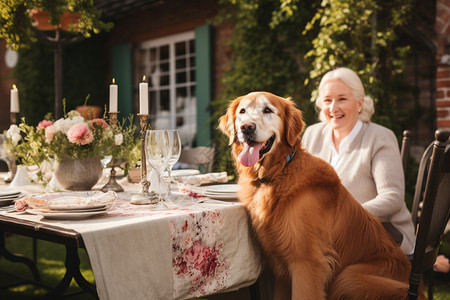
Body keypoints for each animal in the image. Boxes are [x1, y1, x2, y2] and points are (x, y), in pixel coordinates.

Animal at [218, 92, 422, 300]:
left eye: (267, 110)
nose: (246, 127)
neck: (279, 172)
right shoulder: (281, 269)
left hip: (348, 277)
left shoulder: (306, 262)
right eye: (242, 111)